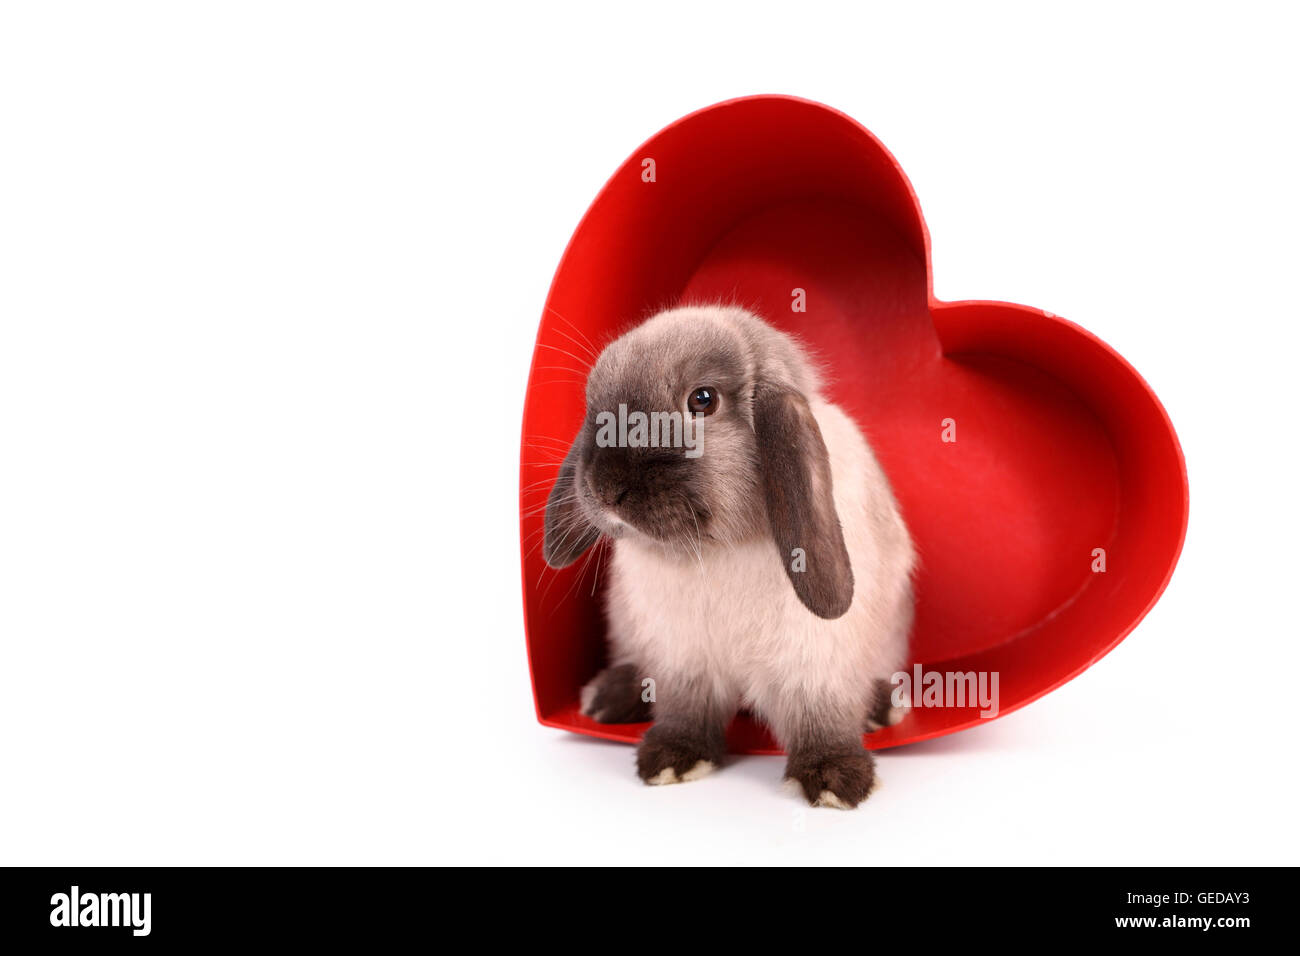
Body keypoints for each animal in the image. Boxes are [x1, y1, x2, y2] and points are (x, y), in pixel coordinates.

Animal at [542, 304, 915, 808]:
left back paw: (883, 707)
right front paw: (671, 758)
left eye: (703, 400)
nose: (606, 488)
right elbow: (685, 709)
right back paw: (607, 698)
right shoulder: (683, 656)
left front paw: (834, 777)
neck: (715, 549)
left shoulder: (814, 658)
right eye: (593, 403)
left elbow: (821, 713)